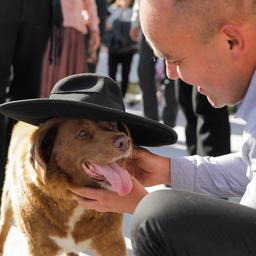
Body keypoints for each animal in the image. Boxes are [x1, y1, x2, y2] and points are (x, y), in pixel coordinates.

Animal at [0, 118, 132, 256]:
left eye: (112, 125)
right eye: (82, 133)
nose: (125, 141)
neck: (72, 202)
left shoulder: (112, 242)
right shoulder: (39, 246)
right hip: (7, 201)